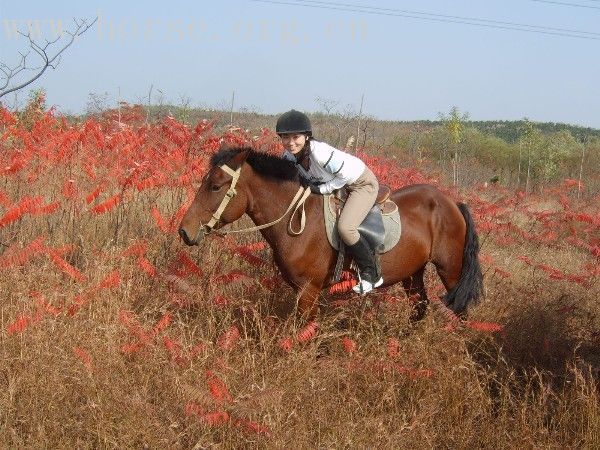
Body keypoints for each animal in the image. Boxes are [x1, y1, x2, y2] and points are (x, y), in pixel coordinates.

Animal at [178, 147, 482, 320]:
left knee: (459, 310)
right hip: (413, 273)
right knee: (419, 308)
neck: (296, 217)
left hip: (450, 270)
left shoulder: (308, 291)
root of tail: (452, 203)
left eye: (216, 186)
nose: (184, 231)